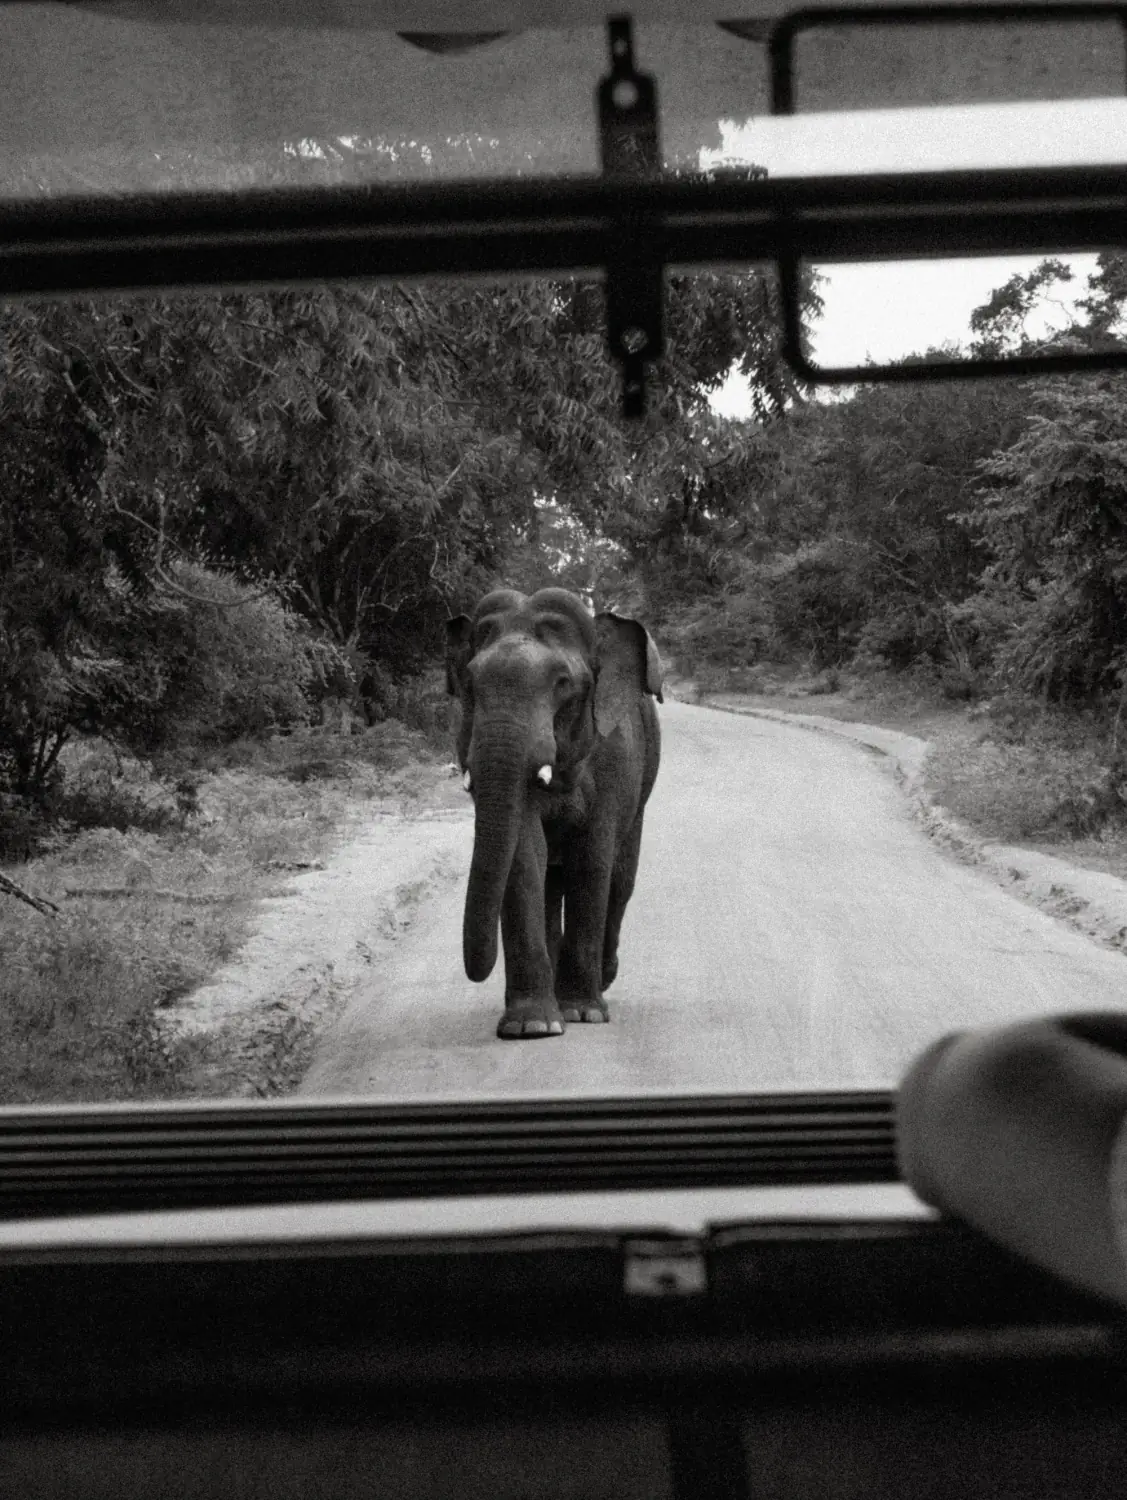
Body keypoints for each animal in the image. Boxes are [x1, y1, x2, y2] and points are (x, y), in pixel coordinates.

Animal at [445, 587, 663, 1040]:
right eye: (470, 683)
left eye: (563, 683)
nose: (477, 970)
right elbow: (525, 856)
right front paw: (532, 1026)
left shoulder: (615, 759)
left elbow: (591, 859)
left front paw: (583, 1013)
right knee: (551, 879)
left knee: (621, 879)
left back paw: (601, 980)